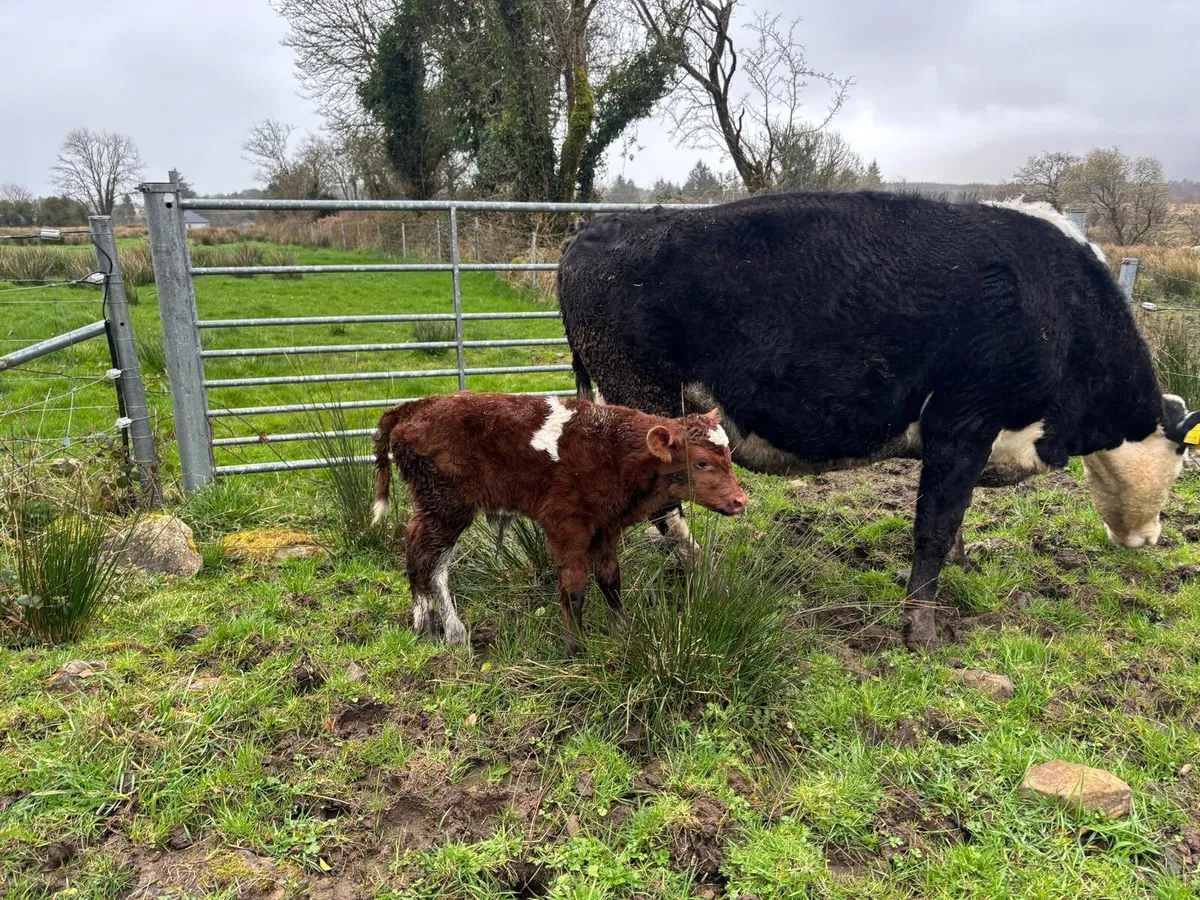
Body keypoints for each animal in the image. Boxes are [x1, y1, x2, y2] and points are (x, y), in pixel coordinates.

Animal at [372, 392, 747, 656]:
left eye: (728, 457)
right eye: (701, 462)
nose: (740, 501)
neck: (615, 448)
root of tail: (412, 408)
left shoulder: (605, 526)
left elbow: (610, 579)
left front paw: (622, 629)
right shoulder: (566, 524)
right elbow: (574, 588)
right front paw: (575, 648)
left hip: (433, 508)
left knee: (415, 550)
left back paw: (423, 619)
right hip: (447, 508)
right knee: (433, 564)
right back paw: (452, 630)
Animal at [555, 190, 1200, 652]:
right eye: (1181, 459)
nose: (1151, 539)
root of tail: (591, 231)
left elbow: (953, 520)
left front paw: (964, 564)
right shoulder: (963, 423)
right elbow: (933, 527)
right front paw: (922, 633)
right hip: (645, 393)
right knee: (666, 511)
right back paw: (705, 572)